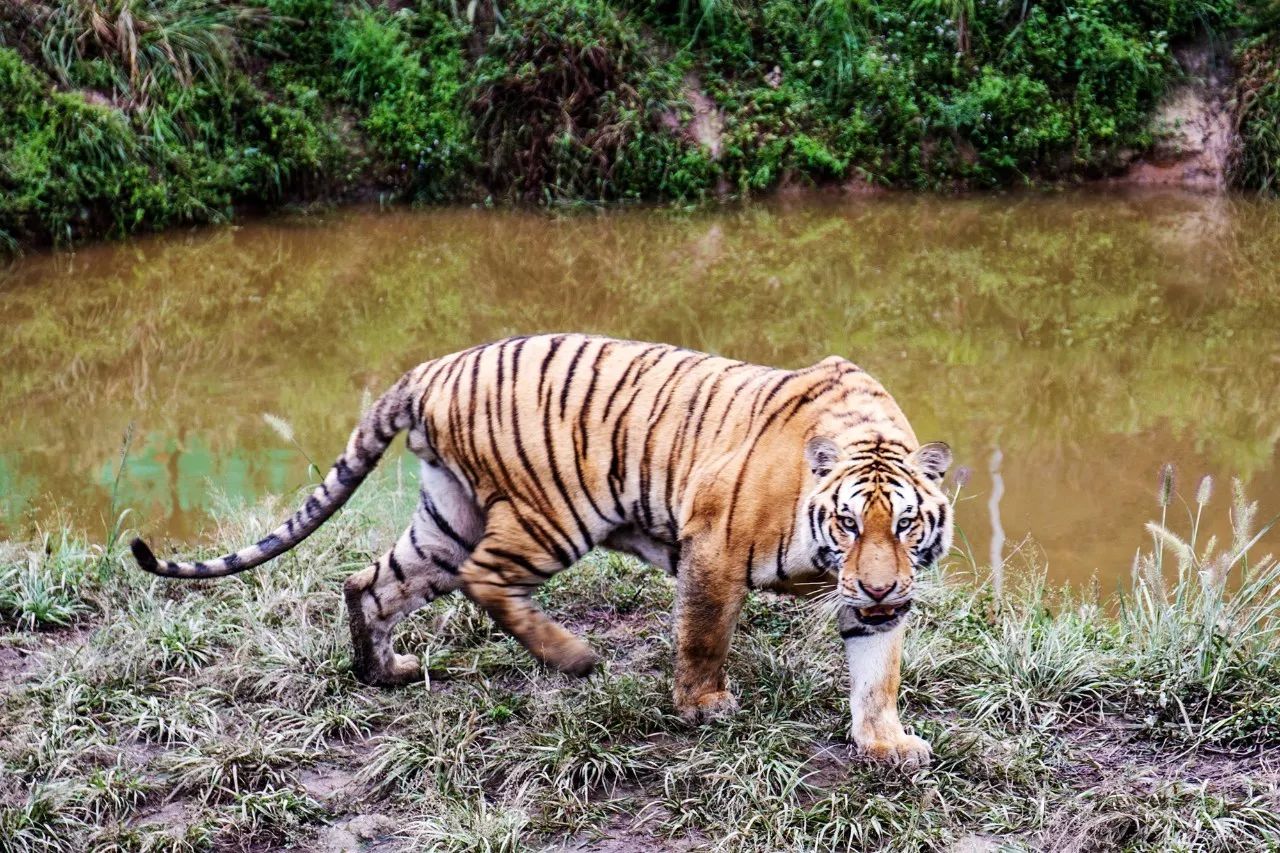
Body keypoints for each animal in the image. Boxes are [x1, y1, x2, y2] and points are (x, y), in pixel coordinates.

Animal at [132, 333, 952, 763]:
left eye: (905, 526)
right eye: (847, 523)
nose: (880, 587)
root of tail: (431, 367)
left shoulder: (877, 602)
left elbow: (877, 675)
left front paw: (888, 744)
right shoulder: (712, 549)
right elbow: (702, 636)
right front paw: (702, 705)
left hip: (444, 518)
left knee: (370, 581)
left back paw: (384, 671)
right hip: (552, 514)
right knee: (483, 579)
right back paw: (573, 656)